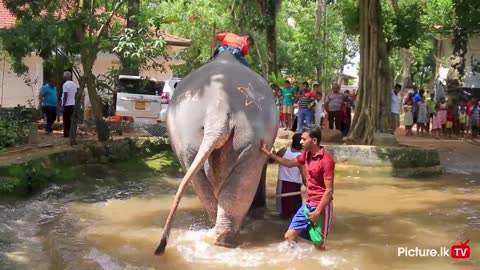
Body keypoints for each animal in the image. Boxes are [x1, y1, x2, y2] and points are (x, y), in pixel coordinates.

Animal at [155, 51, 278, 255]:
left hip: (188, 141)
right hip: (248, 139)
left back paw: (219, 236)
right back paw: (226, 239)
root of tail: (217, 111)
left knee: (202, 183)